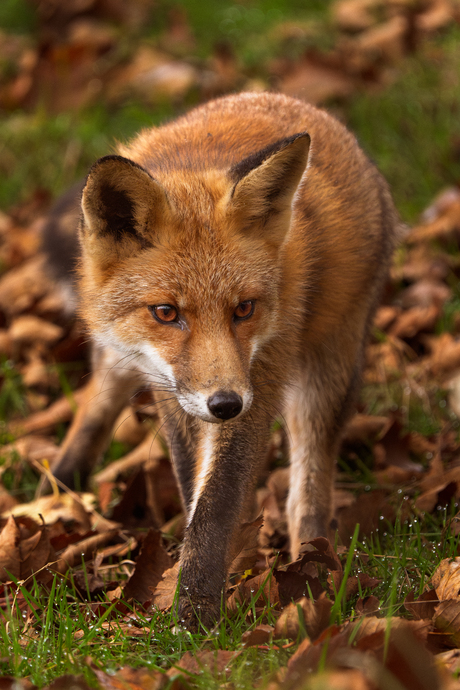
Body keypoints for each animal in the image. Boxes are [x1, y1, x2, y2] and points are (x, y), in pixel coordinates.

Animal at [43, 91, 398, 628]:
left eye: (244, 309)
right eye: (166, 313)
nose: (225, 404)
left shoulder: (260, 378)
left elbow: (214, 506)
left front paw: (193, 618)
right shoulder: (174, 393)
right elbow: (195, 492)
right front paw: (194, 596)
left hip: (326, 371)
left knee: (309, 488)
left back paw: (314, 569)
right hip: (124, 358)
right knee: (98, 402)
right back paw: (62, 483)